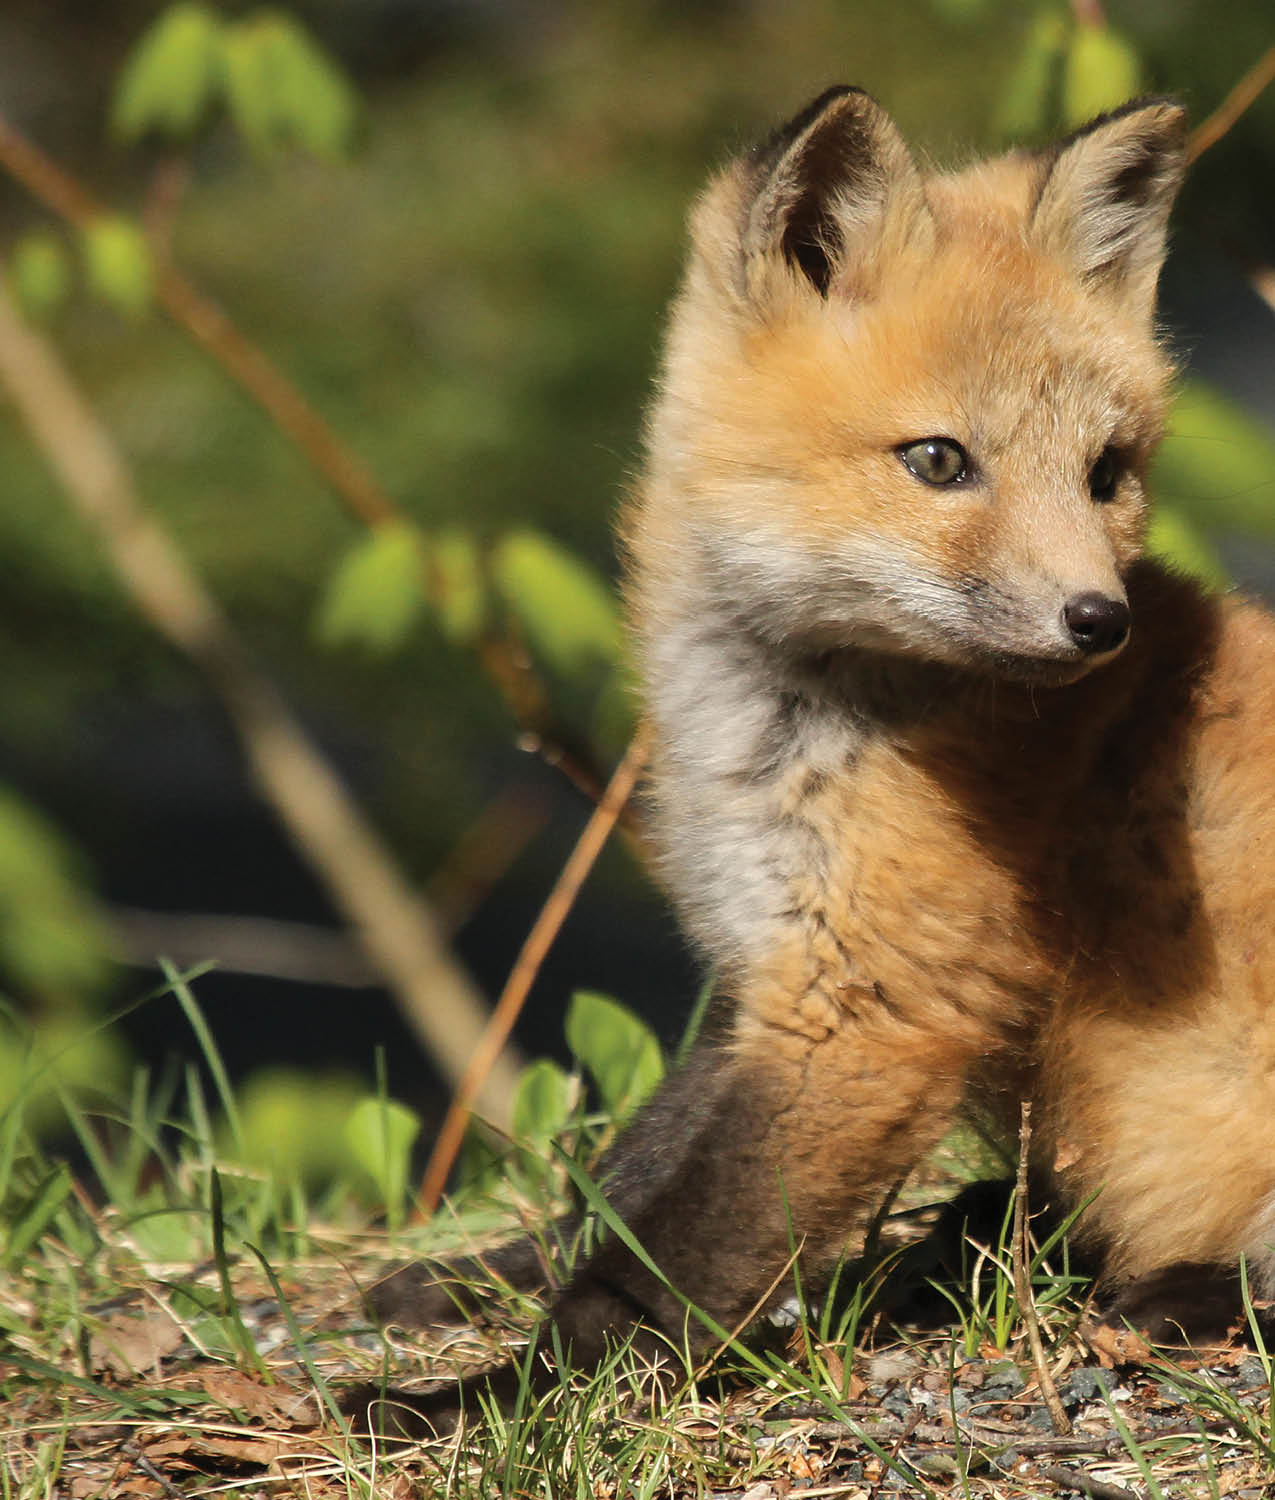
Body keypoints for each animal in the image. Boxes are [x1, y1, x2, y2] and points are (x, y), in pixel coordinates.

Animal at [355, 87, 1272, 1422]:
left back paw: (1164, 1290)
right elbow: (621, 1183)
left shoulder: (874, 1004)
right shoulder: (766, 946)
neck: (777, 729)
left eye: (1106, 475)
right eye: (939, 460)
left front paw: (492, 1403)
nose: (1100, 622)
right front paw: (478, 1281)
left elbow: (656, 1270)